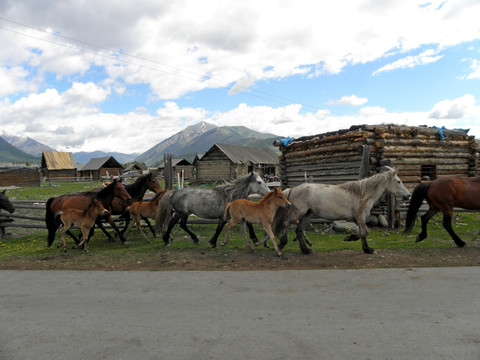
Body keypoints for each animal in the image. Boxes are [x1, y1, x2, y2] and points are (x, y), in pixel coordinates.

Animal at [272, 168, 410, 255]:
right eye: (398, 181)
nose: (408, 195)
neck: (361, 194)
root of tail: (292, 189)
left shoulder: (358, 219)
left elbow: (364, 232)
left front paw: (356, 241)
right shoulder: (360, 217)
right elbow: (364, 232)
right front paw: (366, 248)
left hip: (306, 214)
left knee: (299, 230)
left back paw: (306, 250)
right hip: (298, 213)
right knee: (285, 224)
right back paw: (282, 244)